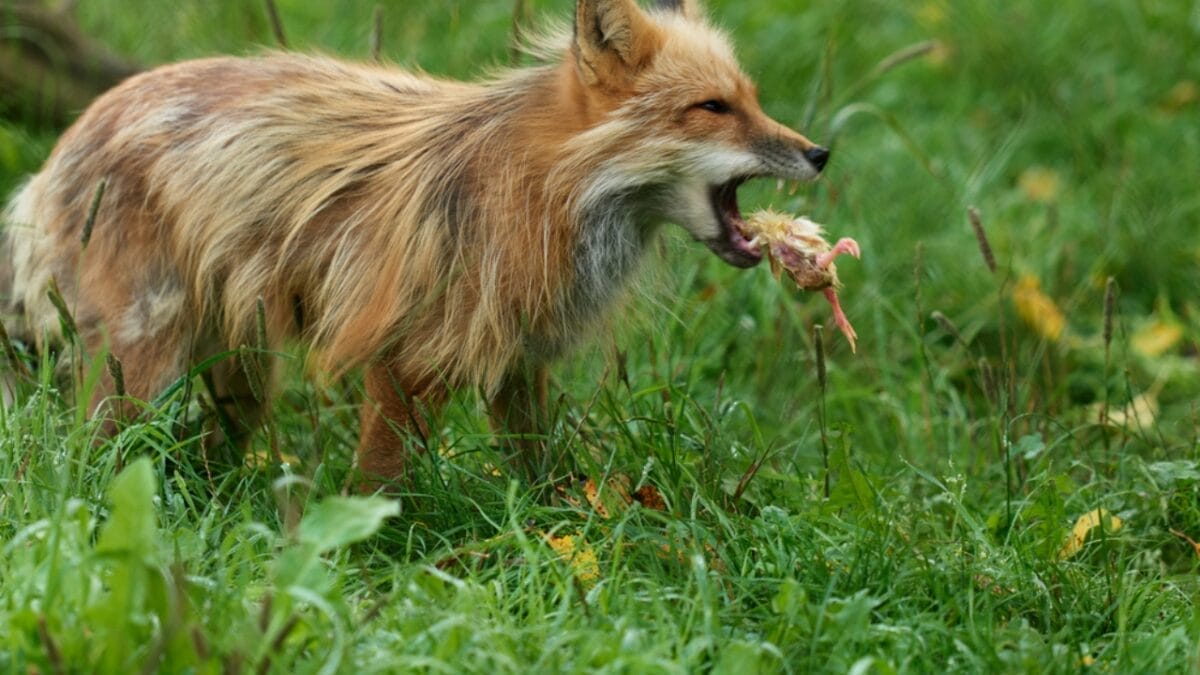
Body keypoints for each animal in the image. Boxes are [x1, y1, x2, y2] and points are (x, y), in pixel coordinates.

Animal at [0, 0, 829, 484]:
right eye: (712, 108)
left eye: (752, 100)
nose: (820, 153)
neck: (542, 186)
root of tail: (66, 140)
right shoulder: (403, 356)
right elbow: (378, 484)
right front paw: (359, 564)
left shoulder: (517, 360)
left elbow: (539, 469)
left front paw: (556, 527)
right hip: (146, 363)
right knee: (88, 463)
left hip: (238, 369)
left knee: (205, 449)